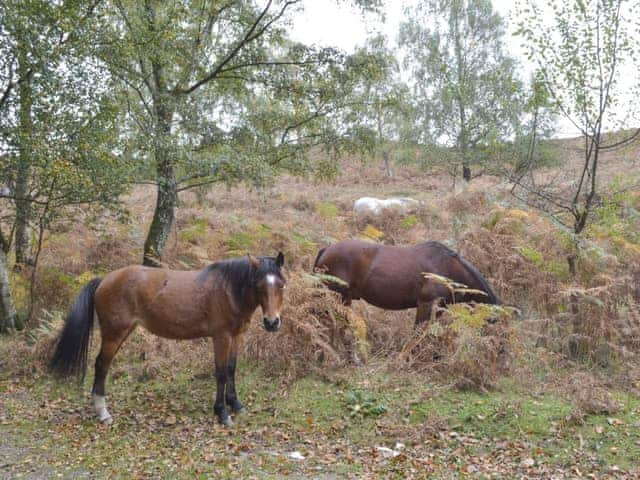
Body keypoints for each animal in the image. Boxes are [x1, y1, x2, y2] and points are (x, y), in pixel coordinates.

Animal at [51, 253, 286, 426]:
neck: (227, 289)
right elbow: (220, 373)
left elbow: (231, 369)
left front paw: (236, 405)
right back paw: (103, 412)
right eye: (258, 285)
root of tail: (104, 280)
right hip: (114, 334)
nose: (272, 322)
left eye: (281, 285)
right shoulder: (221, 338)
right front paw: (222, 413)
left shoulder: (235, 337)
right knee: (101, 365)